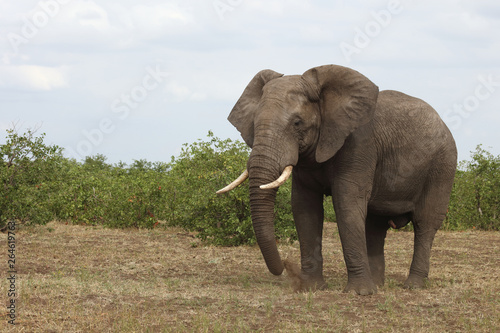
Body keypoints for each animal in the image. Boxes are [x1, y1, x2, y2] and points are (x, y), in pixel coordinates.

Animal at [219, 64, 458, 294]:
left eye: (297, 123)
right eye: (254, 123)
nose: (286, 266)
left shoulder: (359, 144)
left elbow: (346, 204)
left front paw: (358, 293)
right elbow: (304, 208)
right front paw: (311, 288)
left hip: (443, 165)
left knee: (425, 223)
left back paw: (412, 286)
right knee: (375, 226)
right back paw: (378, 285)